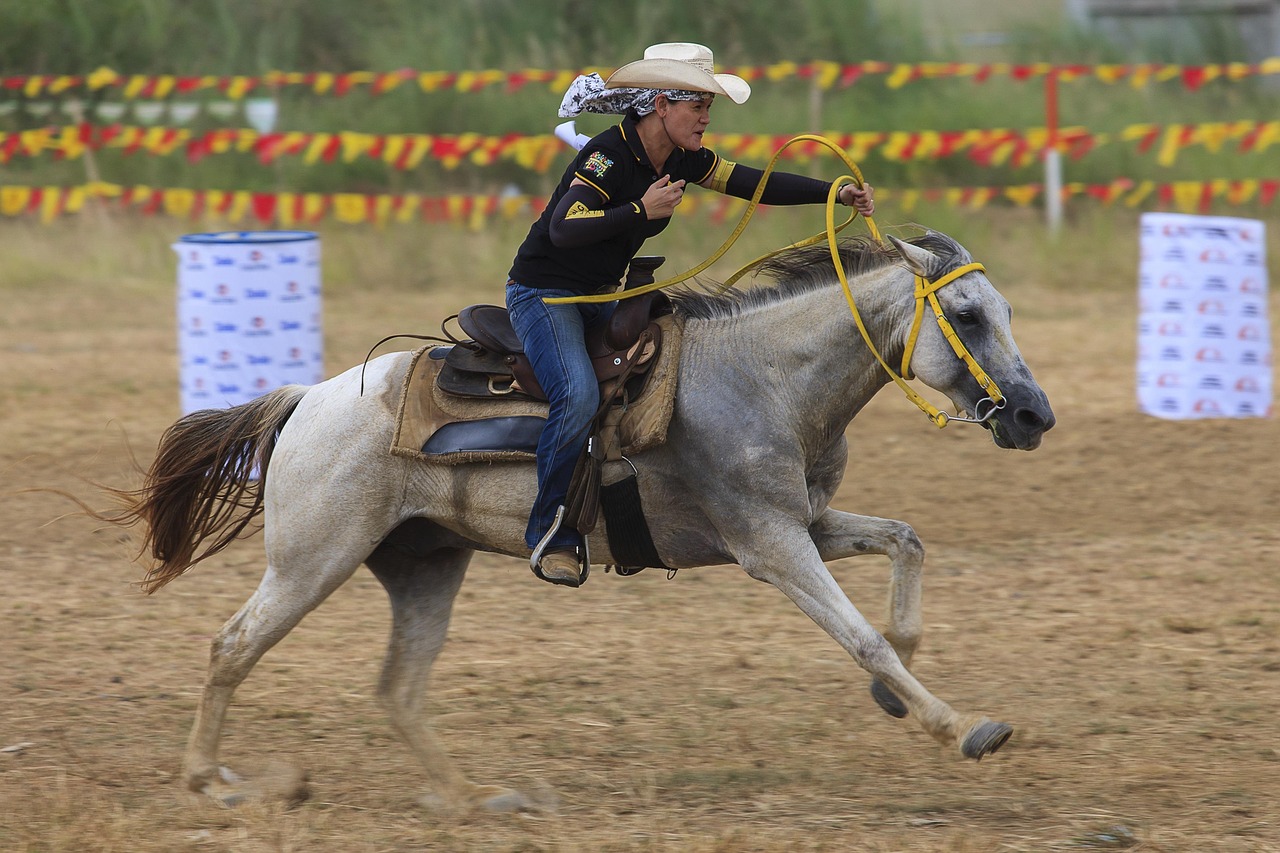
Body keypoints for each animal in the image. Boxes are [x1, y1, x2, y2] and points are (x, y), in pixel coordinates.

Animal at [107, 229, 1049, 809]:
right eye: (966, 315)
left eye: (1007, 311)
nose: (1034, 414)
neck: (765, 375)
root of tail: (307, 397)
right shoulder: (770, 544)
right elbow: (863, 638)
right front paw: (961, 726)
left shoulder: (804, 522)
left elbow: (905, 543)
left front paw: (897, 696)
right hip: (314, 558)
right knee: (233, 646)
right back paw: (213, 781)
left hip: (422, 563)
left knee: (398, 688)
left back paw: (473, 800)